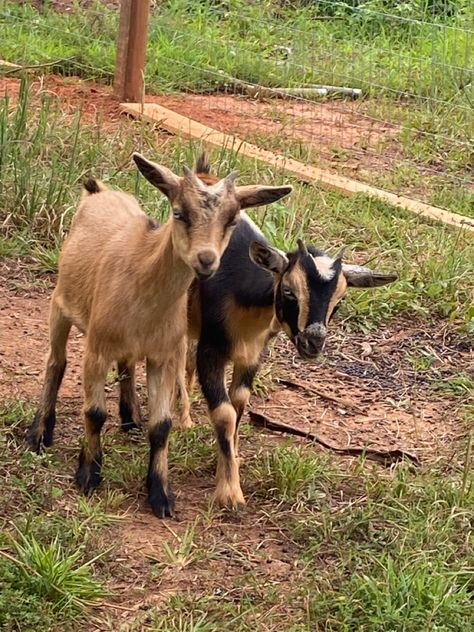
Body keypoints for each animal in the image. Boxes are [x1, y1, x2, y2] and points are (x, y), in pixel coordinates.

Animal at [27, 154, 292, 520]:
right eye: (179, 213)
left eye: (232, 220)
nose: (206, 260)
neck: (141, 271)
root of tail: (99, 191)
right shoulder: (96, 348)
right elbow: (94, 412)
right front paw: (88, 475)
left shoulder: (162, 355)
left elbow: (162, 425)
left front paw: (160, 494)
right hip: (60, 306)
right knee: (56, 363)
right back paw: (39, 433)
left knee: (125, 364)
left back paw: (130, 417)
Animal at [120, 157, 394, 508]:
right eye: (289, 292)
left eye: (340, 299)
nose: (313, 342)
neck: (242, 293)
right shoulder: (212, 349)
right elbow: (224, 412)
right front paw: (230, 494)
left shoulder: (253, 354)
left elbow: (238, 404)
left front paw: (227, 462)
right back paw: (135, 417)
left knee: (184, 362)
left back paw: (184, 419)